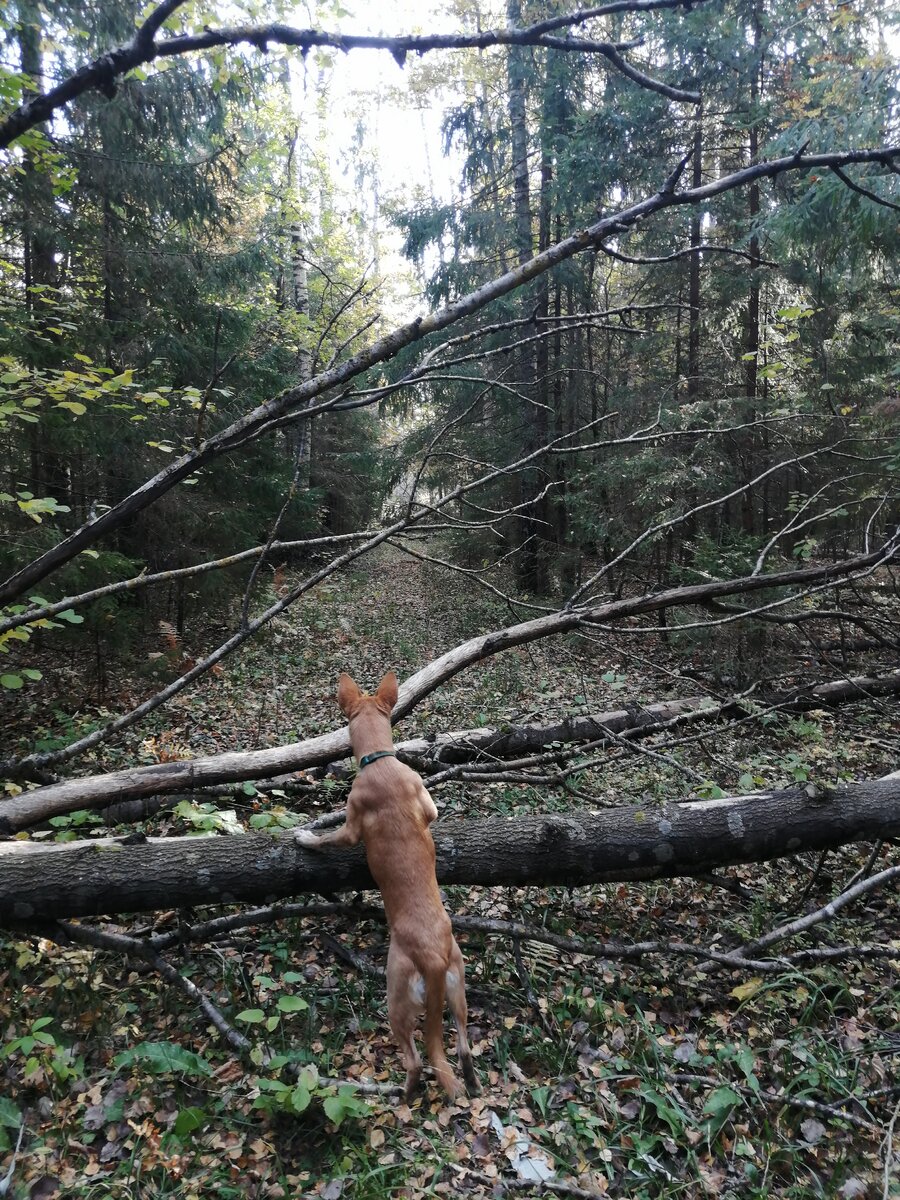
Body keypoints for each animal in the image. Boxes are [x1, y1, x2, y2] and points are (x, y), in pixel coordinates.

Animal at [296, 672, 480, 1099]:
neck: (381, 760)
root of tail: (432, 956)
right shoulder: (427, 802)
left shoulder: (351, 825)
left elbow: (329, 839)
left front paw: (305, 837)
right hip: (458, 986)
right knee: (463, 1046)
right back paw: (469, 1080)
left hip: (396, 996)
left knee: (414, 1061)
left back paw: (402, 1095)